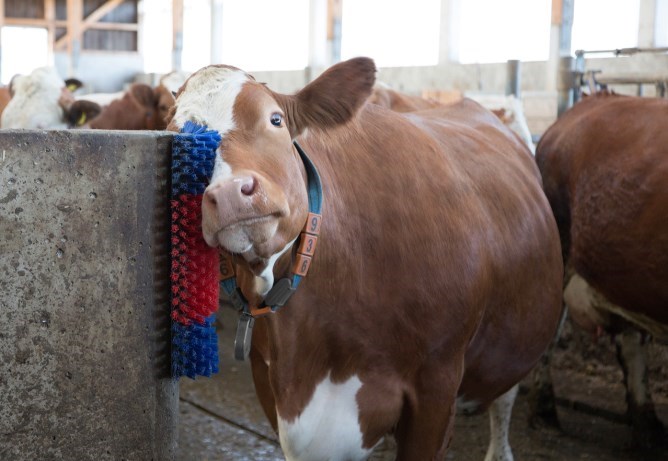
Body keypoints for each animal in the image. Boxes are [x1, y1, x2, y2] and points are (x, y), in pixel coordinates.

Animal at [168, 57, 564, 460]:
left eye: (275, 119)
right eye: (178, 148)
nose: (230, 194)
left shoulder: (436, 389)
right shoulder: (270, 384)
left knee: (504, 398)